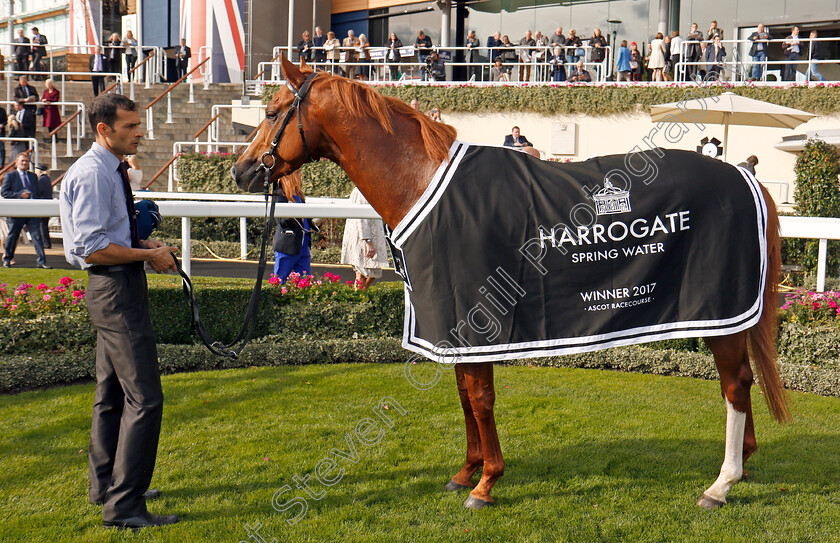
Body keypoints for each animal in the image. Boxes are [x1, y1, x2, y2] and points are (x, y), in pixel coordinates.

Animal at [233, 57, 792, 512]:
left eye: (271, 112)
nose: (241, 171)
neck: (424, 181)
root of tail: (745, 175)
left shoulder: (475, 320)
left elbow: (480, 397)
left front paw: (486, 483)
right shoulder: (451, 323)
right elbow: (463, 394)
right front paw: (465, 472)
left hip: (721, 307)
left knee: (735, 383)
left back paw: (721, 483)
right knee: (738, 383)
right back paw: (744, 463)